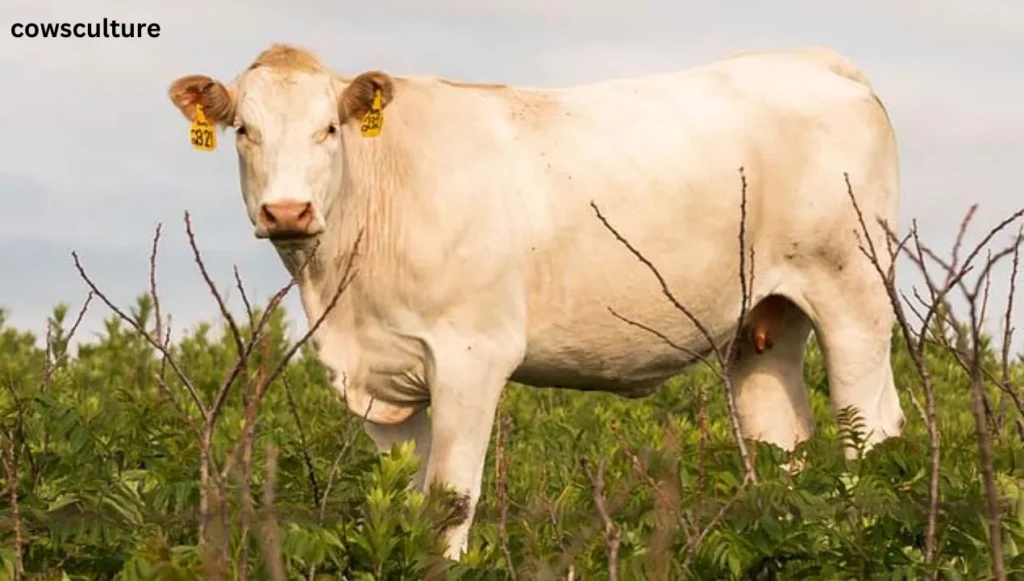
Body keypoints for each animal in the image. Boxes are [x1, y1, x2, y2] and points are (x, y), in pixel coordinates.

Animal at [167, 43, 905, 561]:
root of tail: (813, 61)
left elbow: (448, 500)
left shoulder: (472, 354)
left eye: (328, 129)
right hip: (765, 320)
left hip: (853, 291)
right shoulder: (379, 379)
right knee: (785, 445)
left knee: (871, 430)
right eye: (244, 132)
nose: (287, 211)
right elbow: (404, 501)